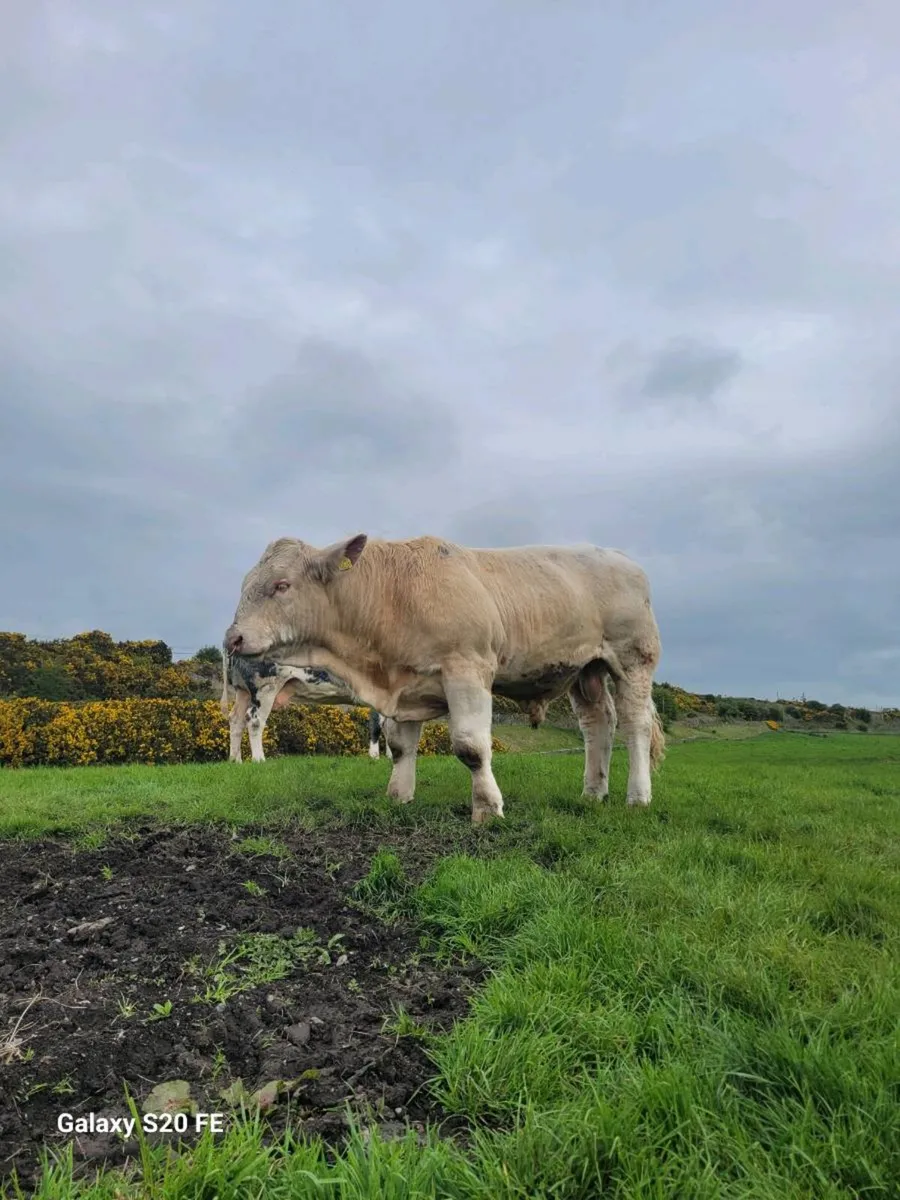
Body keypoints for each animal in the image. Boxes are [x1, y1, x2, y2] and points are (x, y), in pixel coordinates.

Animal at [219, 651, 391, 763]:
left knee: (236, 720)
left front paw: (390, 757)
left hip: (242, 690)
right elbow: (378, 724)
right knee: (254, 720)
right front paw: (375, 757)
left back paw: (235, 760)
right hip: (265, 687)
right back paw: (259, 759)